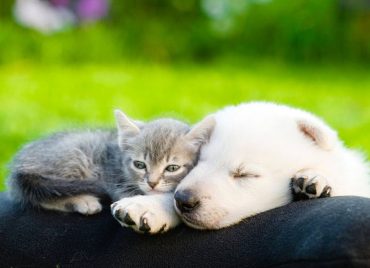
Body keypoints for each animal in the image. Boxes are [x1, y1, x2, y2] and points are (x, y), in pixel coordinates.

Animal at [7, 110, 214, 215]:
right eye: (140, 165)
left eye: (172, 168)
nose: (152, 183)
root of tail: (20, 166)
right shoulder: (117, 183)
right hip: (77, 155)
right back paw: (83, 201)